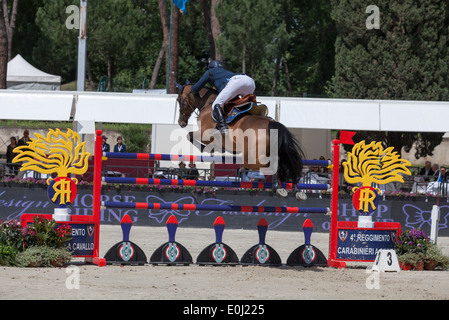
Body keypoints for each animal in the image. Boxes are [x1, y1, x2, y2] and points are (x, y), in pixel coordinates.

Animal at [174, 82, 304, 198]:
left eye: (179, 100)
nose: (181, 122)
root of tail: (273, 125)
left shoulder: (204, 134)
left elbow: (190, 136)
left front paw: (205, 148)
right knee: (285, 163)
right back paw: (292, 189)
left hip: (252, 157)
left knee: (271, 164)